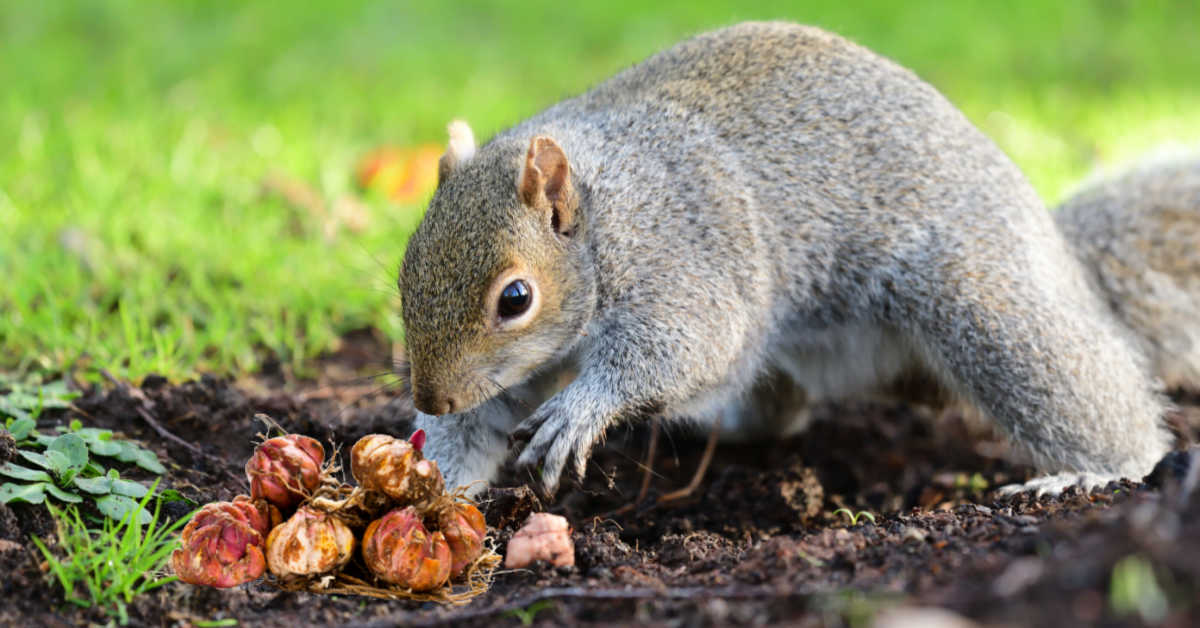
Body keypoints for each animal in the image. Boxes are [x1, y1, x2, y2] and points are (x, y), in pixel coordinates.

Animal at [393, 22, 1171, 499]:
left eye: (515, 298)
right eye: (403, 275)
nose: (433, 398)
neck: (605, 219)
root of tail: (1056, 249)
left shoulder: (680, 256)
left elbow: (685, 343)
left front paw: (584, 410)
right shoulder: (513, 375)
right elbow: (483, 424)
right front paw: (434, 482)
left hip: (982, 300)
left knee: (1085, 391)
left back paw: (1096, 474)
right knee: (781, 407)